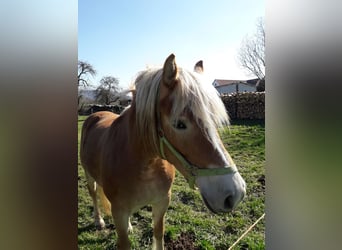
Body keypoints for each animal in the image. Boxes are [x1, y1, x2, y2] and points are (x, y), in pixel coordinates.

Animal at [80, 53, 246, 249]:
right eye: (179, 124)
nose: (235, 194)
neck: (144, 167)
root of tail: (96, 114)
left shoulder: (162, 202)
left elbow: (158, 233)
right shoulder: (119, 211)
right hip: (88, 175)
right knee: (93, 193)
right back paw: (98, 221)